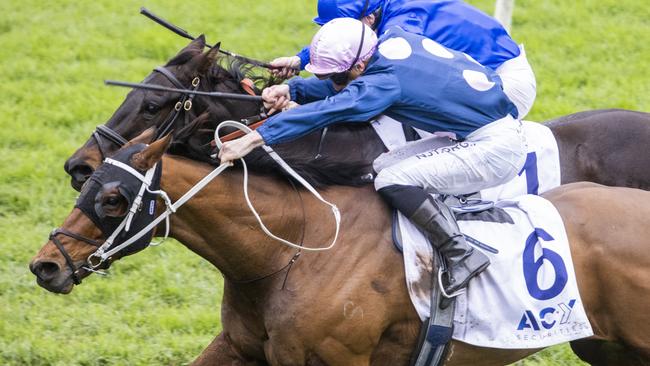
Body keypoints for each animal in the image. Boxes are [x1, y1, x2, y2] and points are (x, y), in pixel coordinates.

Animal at [31, 133, 650, 364]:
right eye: (83, 185)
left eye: (113, 198)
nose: (46, 265)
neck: (294, 252)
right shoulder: (241, 349)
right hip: (605, 347)